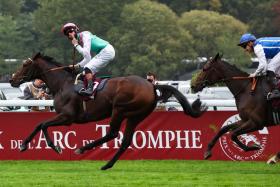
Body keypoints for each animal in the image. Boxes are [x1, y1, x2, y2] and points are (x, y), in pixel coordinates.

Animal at [9, 52, 206, 169]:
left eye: (25, 65)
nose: (11, 80)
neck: (63, 84)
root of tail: (152, 86)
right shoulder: (63, 116)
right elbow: (39, 124)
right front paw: (24, 145)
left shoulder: (67, 117)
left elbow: (42, 124)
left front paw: (54, 147)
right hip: (136, 115)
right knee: (125, 141)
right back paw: (107, 164)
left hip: (119, 109)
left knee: (112, 133)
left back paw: (83, 149)